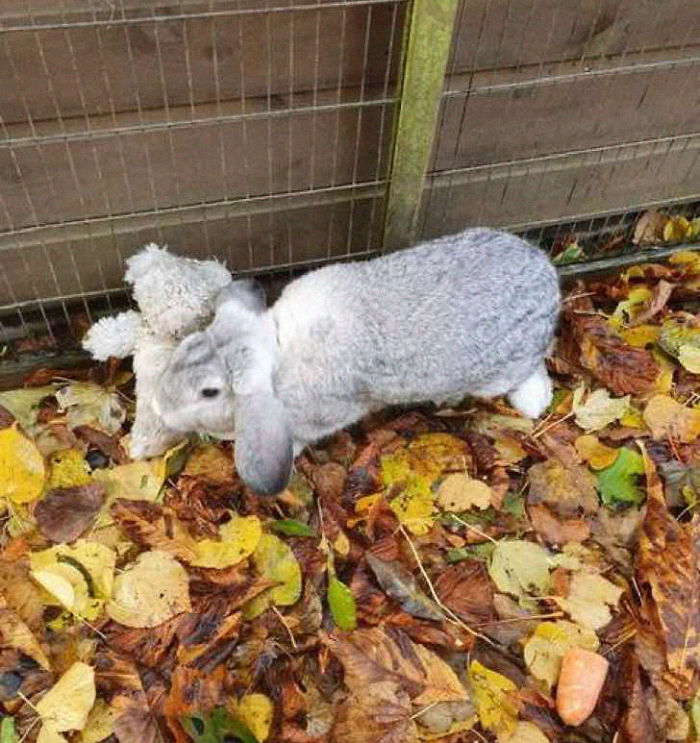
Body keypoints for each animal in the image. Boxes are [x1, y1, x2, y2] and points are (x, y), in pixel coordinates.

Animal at [153, 227, 556, 494]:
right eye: (188, 344)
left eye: (209, 392)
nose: (158, 405)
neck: (279, 348)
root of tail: (550, 279)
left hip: (503, 371)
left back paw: (532, 401)